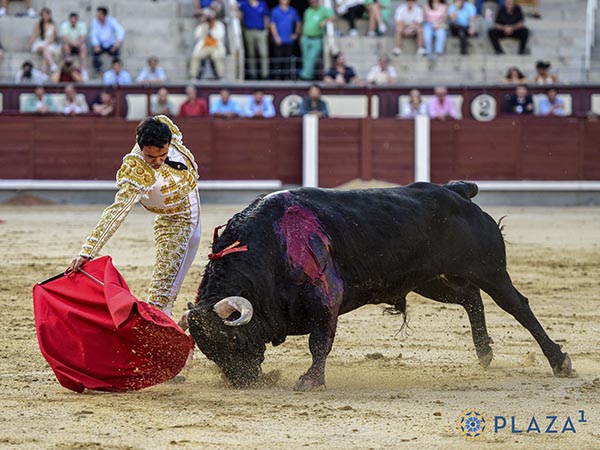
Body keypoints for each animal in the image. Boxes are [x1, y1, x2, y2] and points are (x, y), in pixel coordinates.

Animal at [188, 183, 572, 390]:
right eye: (208, 350)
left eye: (232, 340)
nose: (245, 383)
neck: (265, 246)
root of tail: (456, 191)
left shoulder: (326, 296)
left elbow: (319, 342)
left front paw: (311, 381)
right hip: (427, 281)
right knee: (469, 298)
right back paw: (484, 353)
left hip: (488, 269)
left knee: (518, 306)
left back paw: (559, 362)